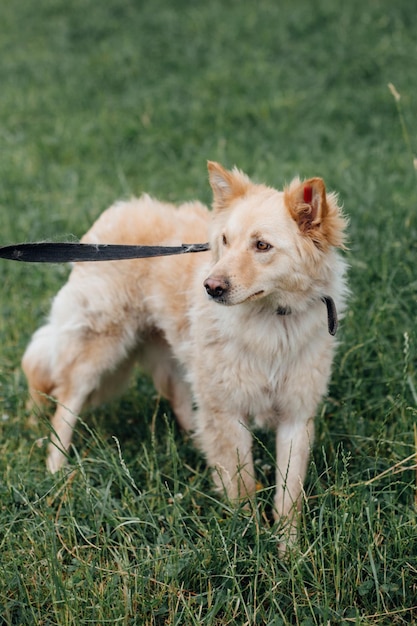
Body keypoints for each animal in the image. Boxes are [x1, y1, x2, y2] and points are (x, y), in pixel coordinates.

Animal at [23, 162, 348, 544]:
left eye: (262, 245)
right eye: (225, 241)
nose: (211, 287)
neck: (273, 320)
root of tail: (115, 214)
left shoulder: (297, 416)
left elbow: (289, 496)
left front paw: (289, 550)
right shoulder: (227, 410)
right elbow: (242, 486)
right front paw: (248, 540)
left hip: (178, 352)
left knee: (179, 398)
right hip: (99, 349)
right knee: (64, 401)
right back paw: (55, 470)